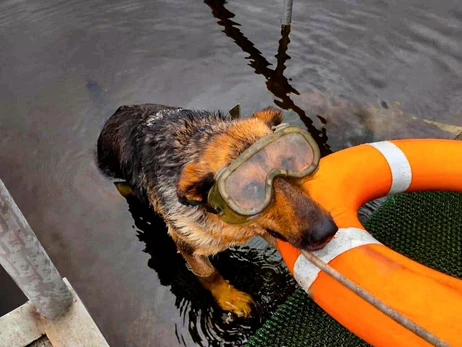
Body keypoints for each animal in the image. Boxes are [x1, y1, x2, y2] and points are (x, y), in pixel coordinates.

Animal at [97, 104, 336, 320]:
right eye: (251, 190)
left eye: (290, 160)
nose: (327, 231)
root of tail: (119, 112)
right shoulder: (186, 241)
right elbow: (210, 275)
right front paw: (230, 298)